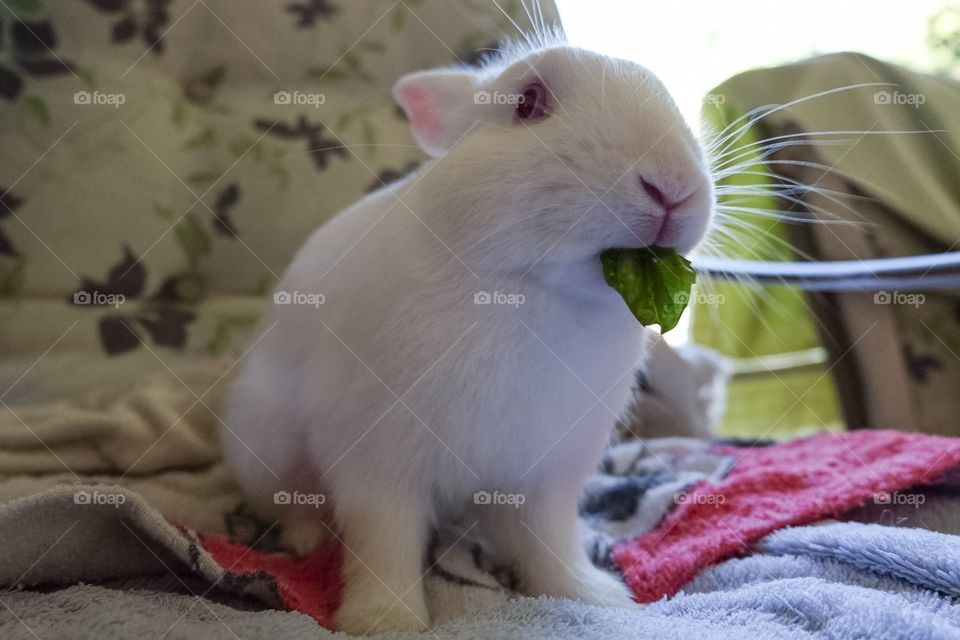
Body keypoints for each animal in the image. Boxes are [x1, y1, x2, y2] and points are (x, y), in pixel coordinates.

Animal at [221, 32, 714, 635]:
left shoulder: (545, 475)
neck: (522, 289)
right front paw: (385, 619)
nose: (673, 186)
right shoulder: (379, 460)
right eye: (527, 103)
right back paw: (305, 540)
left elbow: (550, 543)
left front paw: (590, 596)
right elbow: (385, 540)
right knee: (291, 506)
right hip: (261, 445)